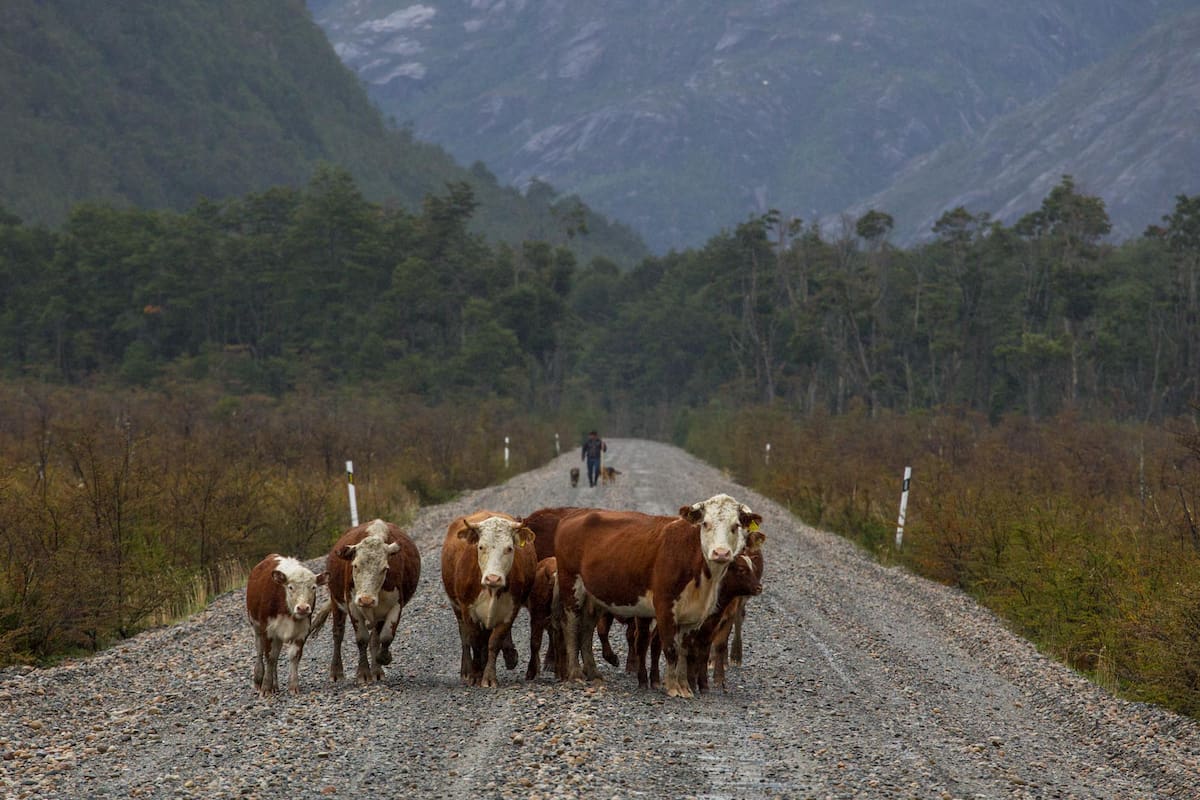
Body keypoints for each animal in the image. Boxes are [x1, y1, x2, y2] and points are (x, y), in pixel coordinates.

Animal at [244, 554, 327, 696]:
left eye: (313, 587)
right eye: (290, 587)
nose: (302, 608)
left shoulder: (302, 632)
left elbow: (293, 656)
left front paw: (293, 686)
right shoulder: (268, 630)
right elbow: (269, 657)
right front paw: (266, 687)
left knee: (276, 657)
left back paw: (275, 685)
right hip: (257, 627)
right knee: (260, 652)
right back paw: (259, 680)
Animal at [311, 519, 420, 684]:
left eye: (385, 568)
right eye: (355, 565)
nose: (366, 600)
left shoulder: (396, 605)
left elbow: (386, 636)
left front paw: (383, 658)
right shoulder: (352, 604)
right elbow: (362, 638)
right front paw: (363, 673)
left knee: (375, 638)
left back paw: (377, 670)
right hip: (336, 601)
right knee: (338, 633)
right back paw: (336, 671)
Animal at [441, 511, 537, 687]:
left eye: (509, 548)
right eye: (481, 547)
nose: (493, 578)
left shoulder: (510, 611)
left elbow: (493, 642)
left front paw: (489, 677)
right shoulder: (467, 609)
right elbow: (474, 640)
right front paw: (475, 675)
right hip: (456, 606)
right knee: (464, 637)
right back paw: (467, 670)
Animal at [553, 493, 762, 698]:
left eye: (735, 525)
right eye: (705, 523)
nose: (721, 553)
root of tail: (575, 515)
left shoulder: (693, 615)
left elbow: (684, 650)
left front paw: (684, 686)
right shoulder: (664, 605)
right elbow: (670, 649)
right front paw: (673, 687)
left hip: (594, 595)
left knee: (587, 628)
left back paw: (593, 672)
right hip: (570, 583)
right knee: (571, 625)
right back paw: (576, 673)